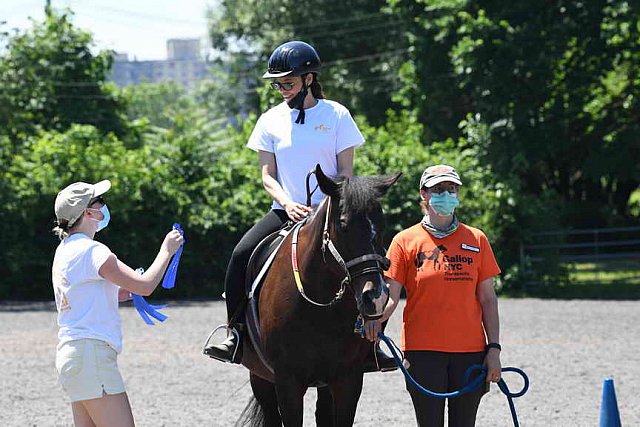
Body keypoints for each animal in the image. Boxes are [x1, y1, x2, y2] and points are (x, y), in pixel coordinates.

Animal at [239, 166, 400, 426]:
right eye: (344, 225)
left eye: (382, 225)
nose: (375, 297)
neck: (321, 305)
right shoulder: (288, 381)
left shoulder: (348, 379)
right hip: (261, 377)